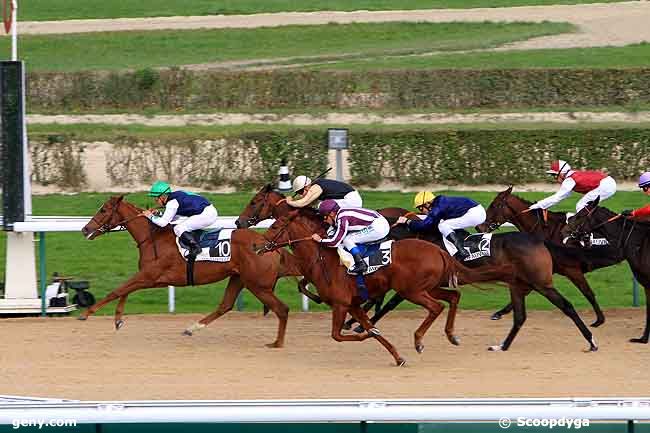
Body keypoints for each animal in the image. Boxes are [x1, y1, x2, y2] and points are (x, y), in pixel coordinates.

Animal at [80, 194, 302, 346]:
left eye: (103, 210)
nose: (84, 229)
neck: (152, 238)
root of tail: (271, 245)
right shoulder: (151, 278)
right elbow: (125, 290)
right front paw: (118, 320)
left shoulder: (149, 276)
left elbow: (118, 290)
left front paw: (86, 313)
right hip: (240, 278)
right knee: (225, 305)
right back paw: (192, 328)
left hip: (258, 285)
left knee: (282, 309)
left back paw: (277, 343)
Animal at [258, 203, 512, 364]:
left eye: (274, 227)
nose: (257, 245)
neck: (323, 260)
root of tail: (439, 250)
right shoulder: (353, 305)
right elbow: (371, 329)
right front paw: (397, 357)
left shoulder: (341, 304)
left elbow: (338, 335)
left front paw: (367, 334)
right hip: (426, 287)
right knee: (453, 297)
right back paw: (451, 335)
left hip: (411, 290)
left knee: (436, 307)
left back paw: (419, 340)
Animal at [476, 185, 624, 324]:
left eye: (494, 205)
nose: (479, 227)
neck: (547, 230)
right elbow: (527, 290)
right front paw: (499, 312)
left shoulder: (572, 270)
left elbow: (588, 293)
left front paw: (600, 319)